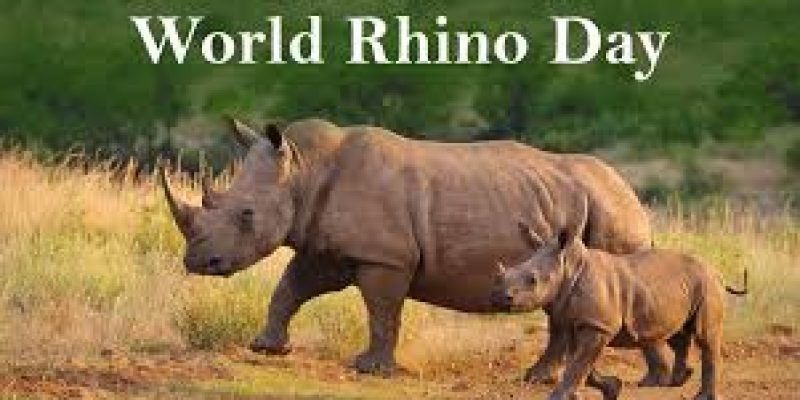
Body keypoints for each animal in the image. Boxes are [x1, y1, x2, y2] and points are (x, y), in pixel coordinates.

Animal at [159, 117, 658, 376]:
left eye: (246, 214)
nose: (197, 262)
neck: (302, 170)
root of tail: (634, 194)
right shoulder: (326, 248)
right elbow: (290, 287)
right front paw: (266, 348)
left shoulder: (386, 257)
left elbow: (382, 311)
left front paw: (370, 369)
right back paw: (538, 378)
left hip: (611, 213)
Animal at [493, 196, 747, 400]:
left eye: (533, 280)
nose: (502, 298)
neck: (569, 267)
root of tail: (717, 272)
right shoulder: (579, 321)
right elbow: (581, 363)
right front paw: (612, 388)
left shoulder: (598, 325)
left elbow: (580, 363)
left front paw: (560, 397)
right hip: (685, 287)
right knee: (677, 332)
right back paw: (680, 379)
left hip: (707, 286)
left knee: (705, 337)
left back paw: (702, 395)